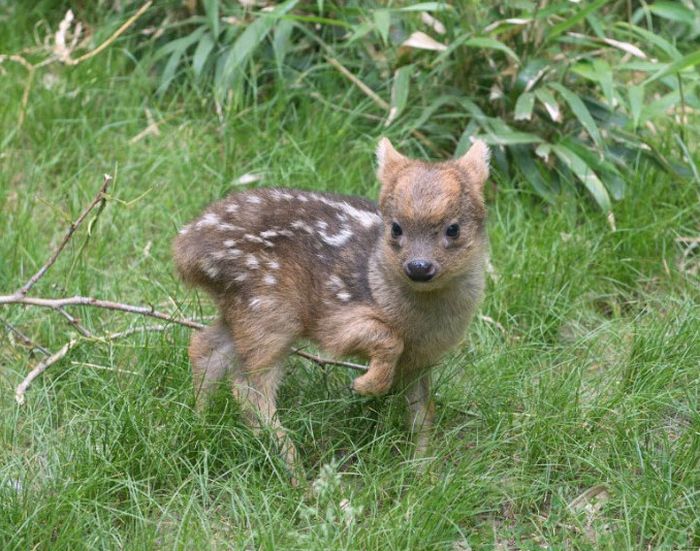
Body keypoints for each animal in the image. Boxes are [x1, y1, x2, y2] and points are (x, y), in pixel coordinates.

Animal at [172, 138, 490, 474]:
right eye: (395, 228)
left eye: (453, 229)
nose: (419, 267)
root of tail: (185, 251)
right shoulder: (336, 319)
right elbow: (387, 338)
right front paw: (365, 385)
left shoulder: (422, 358)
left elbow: (423, 411)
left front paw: (422, 470)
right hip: (270, 308)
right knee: (249, 388)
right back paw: (296, 472)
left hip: (242, 307)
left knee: (205, 346)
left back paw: (199, 422)